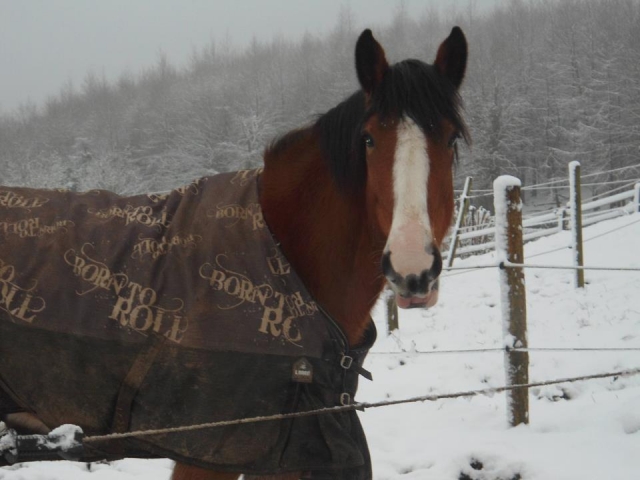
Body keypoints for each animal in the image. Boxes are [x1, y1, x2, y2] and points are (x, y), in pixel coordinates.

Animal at [0, 27, 468, 480]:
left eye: (451, 139)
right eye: (368, 139)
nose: (412, 268)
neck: (284, 256)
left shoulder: (289, 454)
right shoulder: (210, 451)